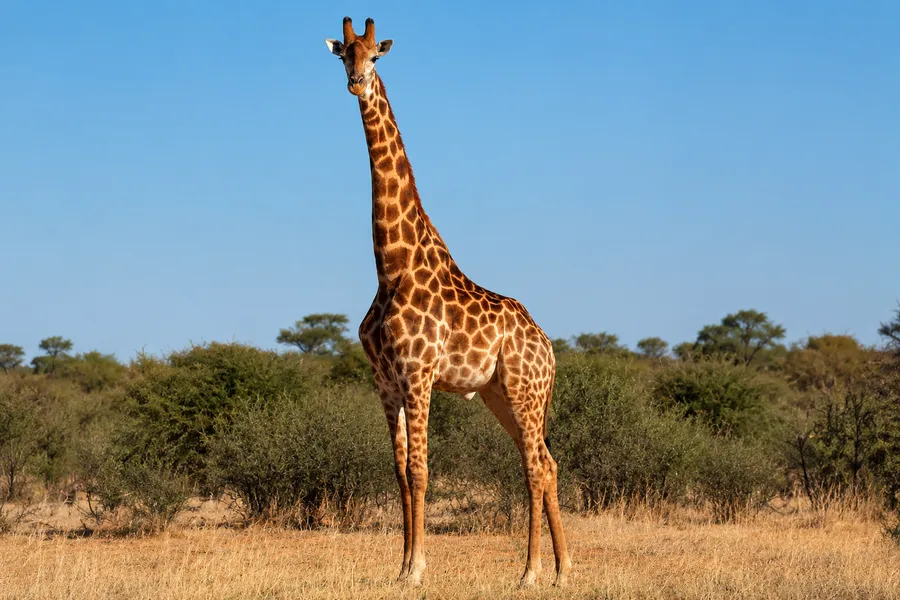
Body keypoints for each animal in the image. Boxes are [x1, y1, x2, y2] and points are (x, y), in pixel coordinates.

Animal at [325, 17, 572, 588]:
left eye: (375, 57)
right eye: (344, 54)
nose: (356, 84)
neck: (391, 265)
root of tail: (548, 348)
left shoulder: (418, 374)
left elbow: (420, 470)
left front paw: (417, 569)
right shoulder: (385, 381)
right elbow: (398, 472)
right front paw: (400, 567)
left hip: (524, 392)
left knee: (535, 466)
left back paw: (530, 573)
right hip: (502, 395)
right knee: (546, 463)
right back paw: (563, 571)